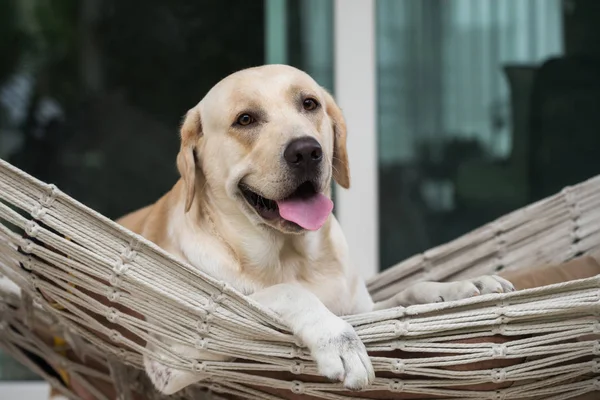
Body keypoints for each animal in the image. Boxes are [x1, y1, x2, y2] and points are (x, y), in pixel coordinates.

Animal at [117, 65, 516, 394]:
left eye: (309, 103)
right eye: (245, 119)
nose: (307, 151)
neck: (294, 257)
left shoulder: (362, 305)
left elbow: (409, 292)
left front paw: (463, 286)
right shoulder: (178, 354)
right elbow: (287, 294)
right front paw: (337, 340)